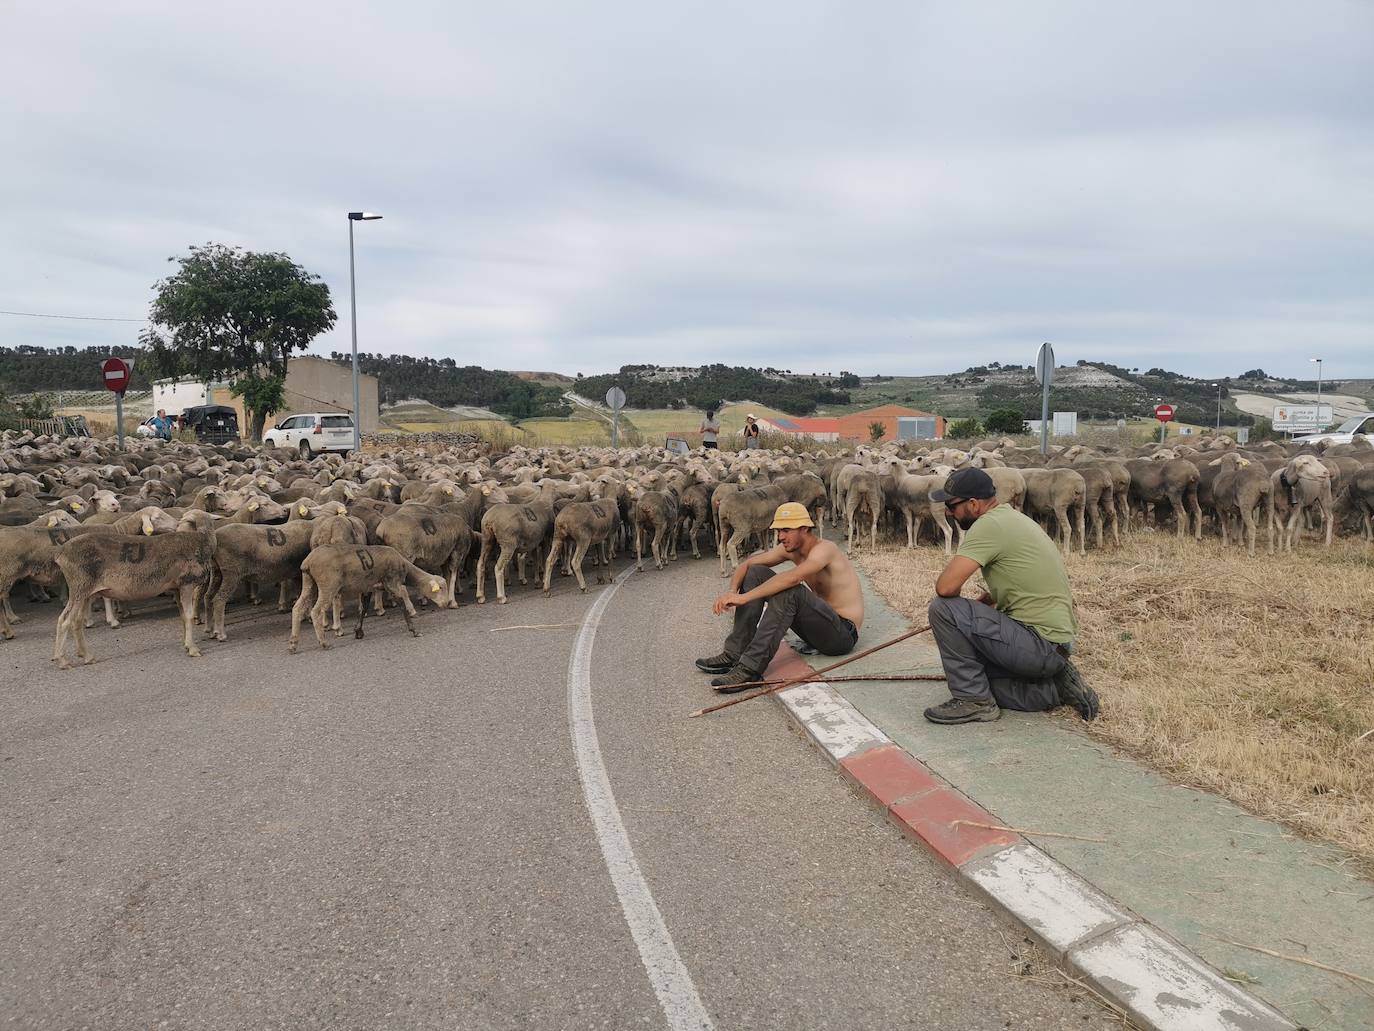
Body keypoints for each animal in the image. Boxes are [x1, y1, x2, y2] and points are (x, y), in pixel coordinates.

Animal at [50, 525, 214, 670]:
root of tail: (60, 553)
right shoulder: (187, 583)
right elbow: (188, 616)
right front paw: (193, 649)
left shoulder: (176, 588)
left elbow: (182, 616)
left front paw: (186, 645)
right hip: (80, 587)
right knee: (65, 621)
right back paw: (63, 661)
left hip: (85, 592)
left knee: (75, 621)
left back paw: (87, 657)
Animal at [285, 541, 445, 654]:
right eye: (441, 589)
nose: (446, 604)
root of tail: (308, 561)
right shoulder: (392, 582)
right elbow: (402, 604)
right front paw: (414, 631)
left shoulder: (367, 588)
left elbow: (363, 608)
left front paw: (358, 631)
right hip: (328, 585)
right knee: (316, 611)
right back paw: (324, 643)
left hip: (309, 582)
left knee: (297, 608)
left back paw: (293, 644)